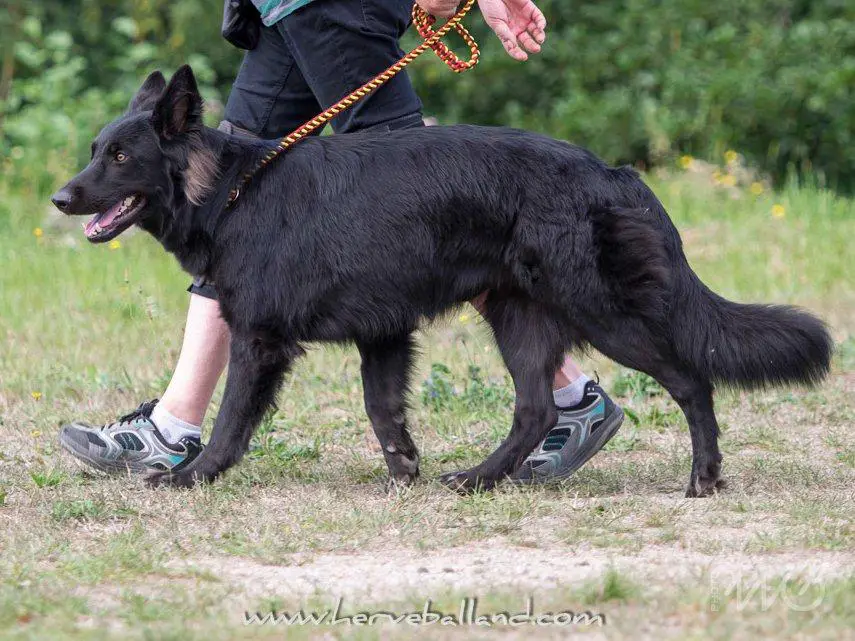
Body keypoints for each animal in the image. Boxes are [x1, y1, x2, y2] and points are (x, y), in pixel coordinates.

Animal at [50, 66, 832, 496]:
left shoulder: (259, 340)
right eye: (94, 149)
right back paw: (482, 478)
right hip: (519, 319)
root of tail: (611, 172)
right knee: (535, 410)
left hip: (603, 314)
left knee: (689, 380)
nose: (60, 198)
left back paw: (703, 476)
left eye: (120, 156)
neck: (233, 193)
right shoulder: (383, 334)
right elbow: (382, 410)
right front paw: (405, 471)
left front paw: (193, 474)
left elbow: (232, 419)